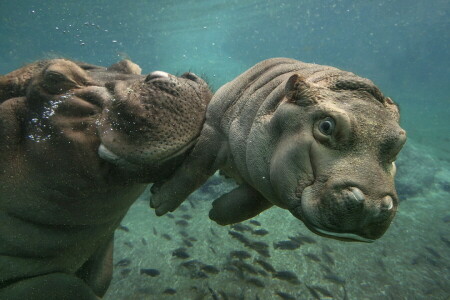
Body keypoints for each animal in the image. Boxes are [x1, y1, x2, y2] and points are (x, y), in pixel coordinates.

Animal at [151, 57, 408, 243]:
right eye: (326, 126)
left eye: (399, 143)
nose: (373, 204)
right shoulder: (215, 128)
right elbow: (194, 169)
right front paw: (158, 202)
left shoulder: (269, 180)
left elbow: (249, 203)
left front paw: (216, 213)